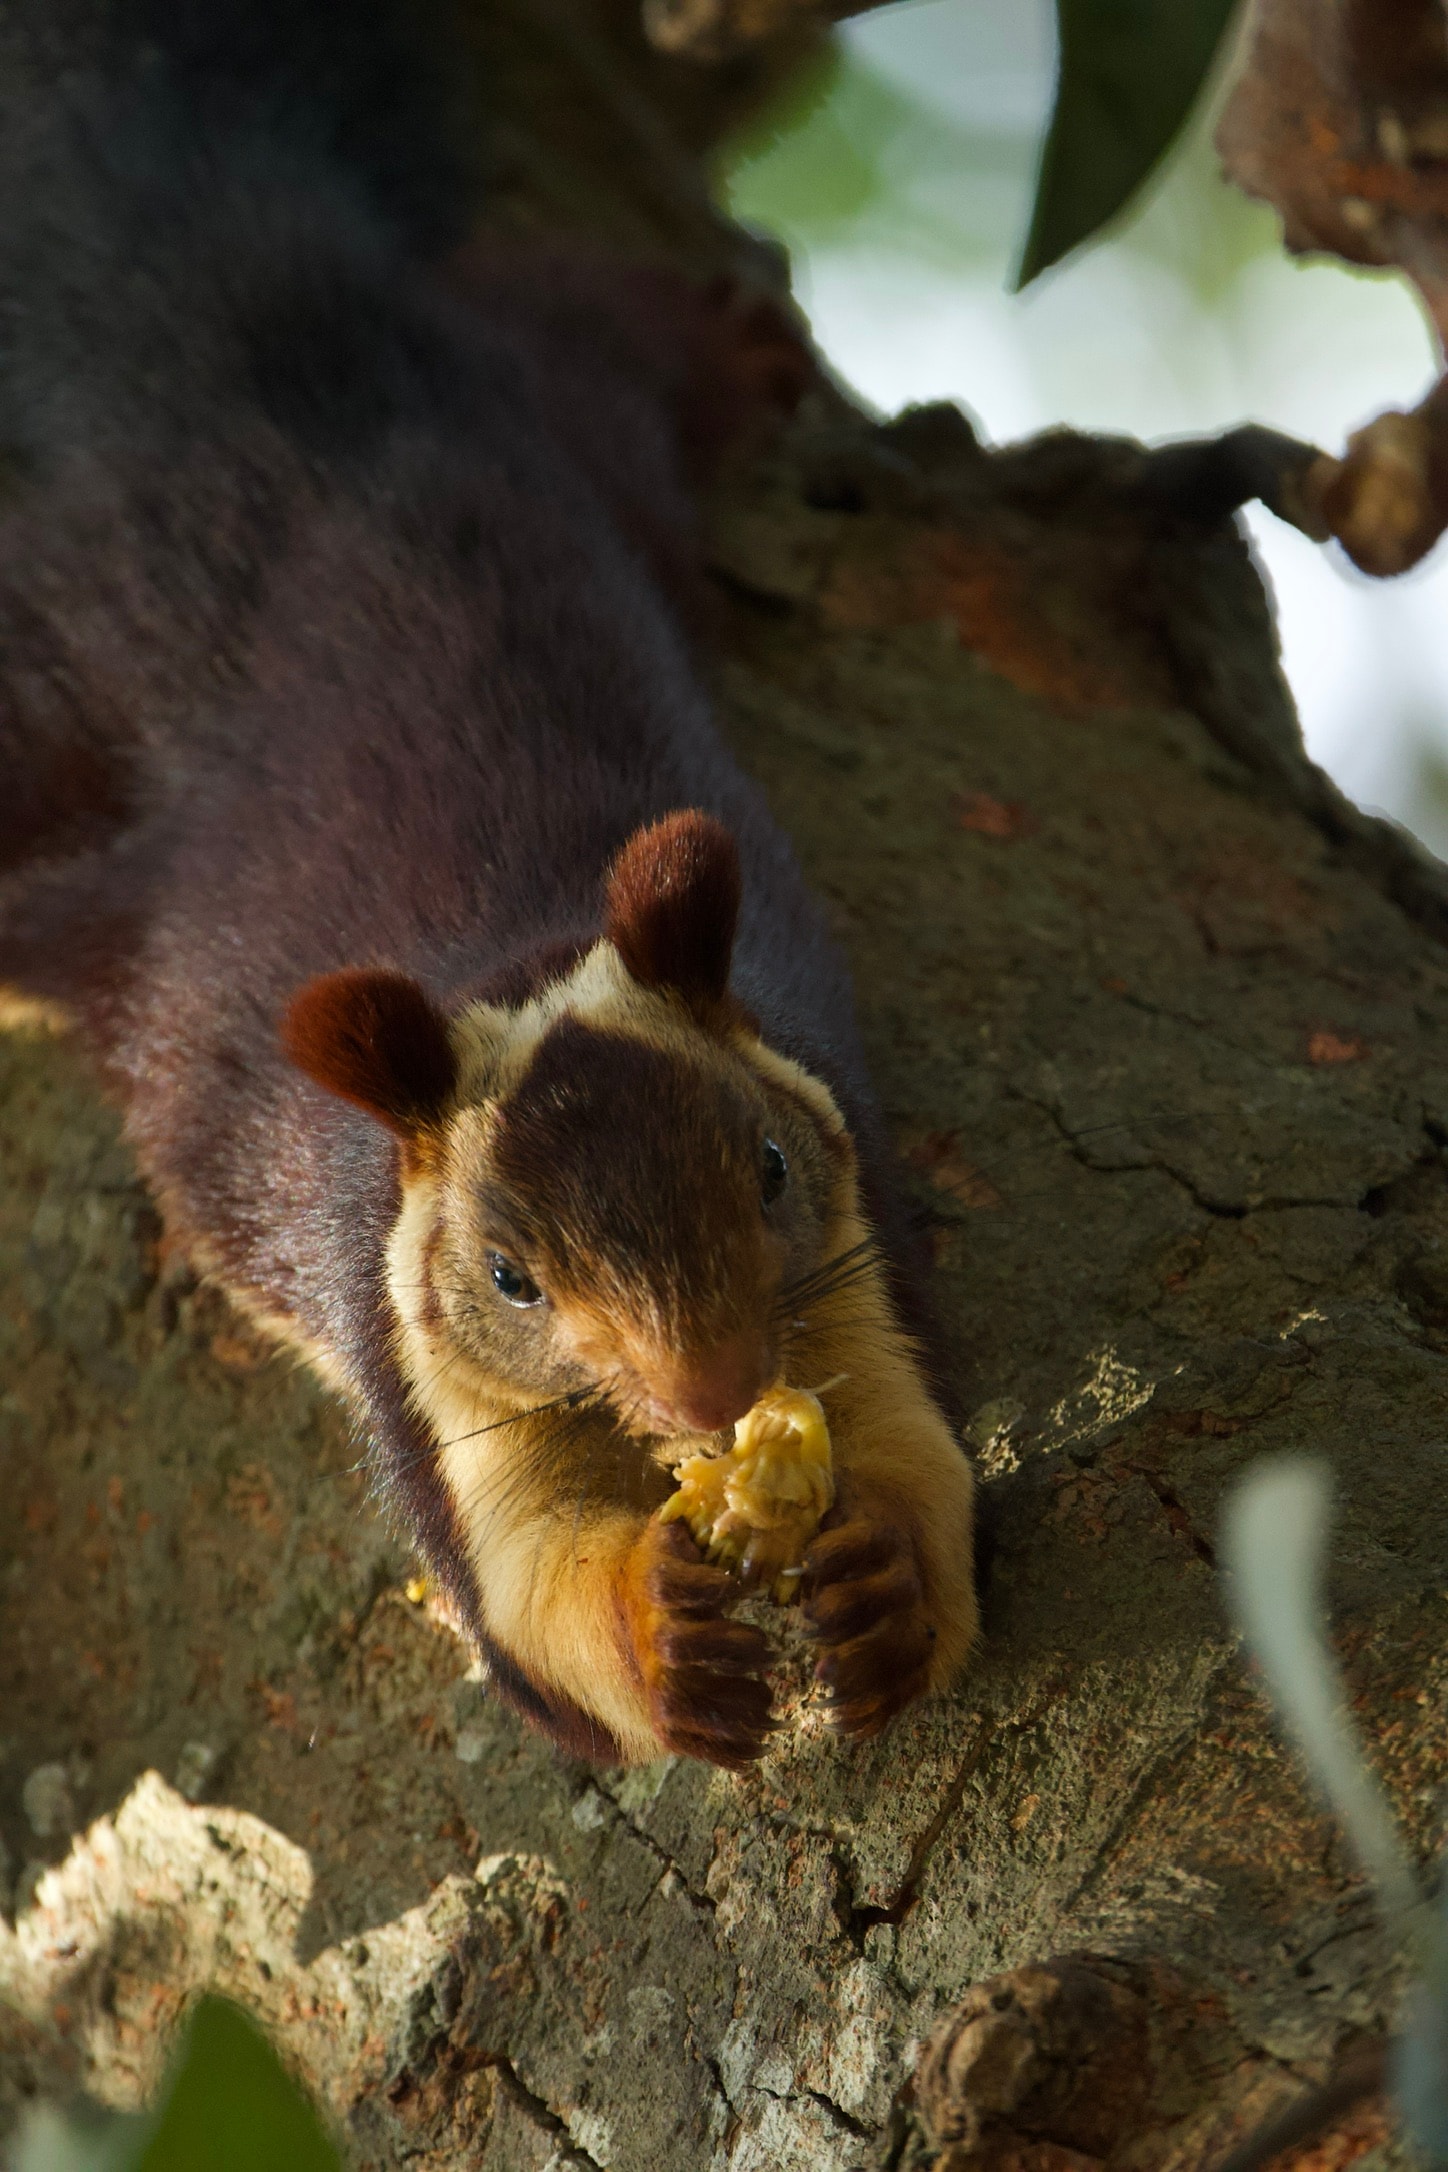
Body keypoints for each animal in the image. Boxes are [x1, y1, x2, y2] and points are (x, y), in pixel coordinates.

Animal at [0, 0, 977, 1767]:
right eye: (511, 1275)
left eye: (769, 1172)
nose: (713, 1393)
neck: (521, 958)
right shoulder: (410, 1358)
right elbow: (531, 1599)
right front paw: (657, 1630)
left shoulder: (854, 1245)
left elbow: (920, 1455)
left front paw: (882, 1577)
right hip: (51, 726)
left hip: (553, 404)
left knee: (587, 332)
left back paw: (730, 342)